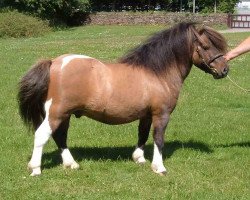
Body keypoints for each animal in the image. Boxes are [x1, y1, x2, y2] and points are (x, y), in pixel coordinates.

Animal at [17, 21, 229, 176]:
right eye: (205, 46)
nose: (224, 70)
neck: (157, 73)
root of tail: (54, 62)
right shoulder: (161, 114)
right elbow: (158, 139)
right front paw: (159, 167)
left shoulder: (146, 114)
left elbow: (143, 134)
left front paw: (139, 158)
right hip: (57, 112)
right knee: (42, 135)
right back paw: (35, 169)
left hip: (65, 114)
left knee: (60, 136)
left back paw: (71, 164)